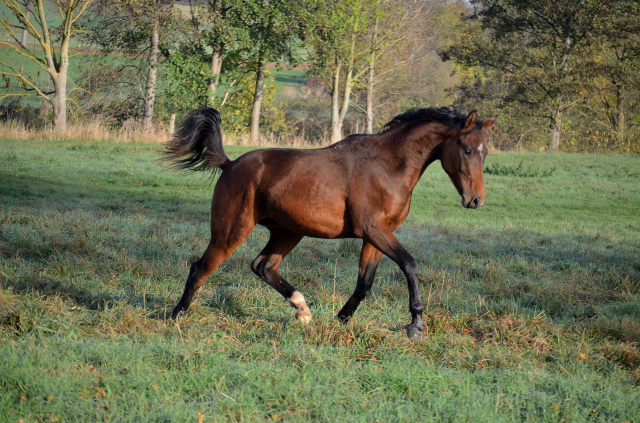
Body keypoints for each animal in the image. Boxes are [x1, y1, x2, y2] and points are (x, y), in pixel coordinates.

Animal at [164, 107, 496, 340]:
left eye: (485, 152)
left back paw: (301, 310)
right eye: (467, 150)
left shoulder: (376, 236)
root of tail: (230, 164)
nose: (476, 200)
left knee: (263, 266)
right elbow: (410, 265)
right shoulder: (374, 230)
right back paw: (176, 317)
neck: (388, 166)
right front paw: (416, 324)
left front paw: (342, 319)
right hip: (231, 230)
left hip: (287, 232)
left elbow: (364, 283)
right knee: (201, 269)